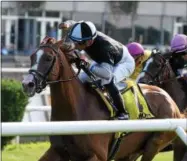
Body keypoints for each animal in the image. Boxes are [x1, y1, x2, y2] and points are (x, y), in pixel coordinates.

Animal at [21, 36, 184, 161]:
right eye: (32, 57)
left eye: (48, 58)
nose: (27, 84)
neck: (77, 108)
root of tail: (173, 104)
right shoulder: (56, 151)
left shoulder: (96, 156)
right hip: (131, 152)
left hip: (155, 144)